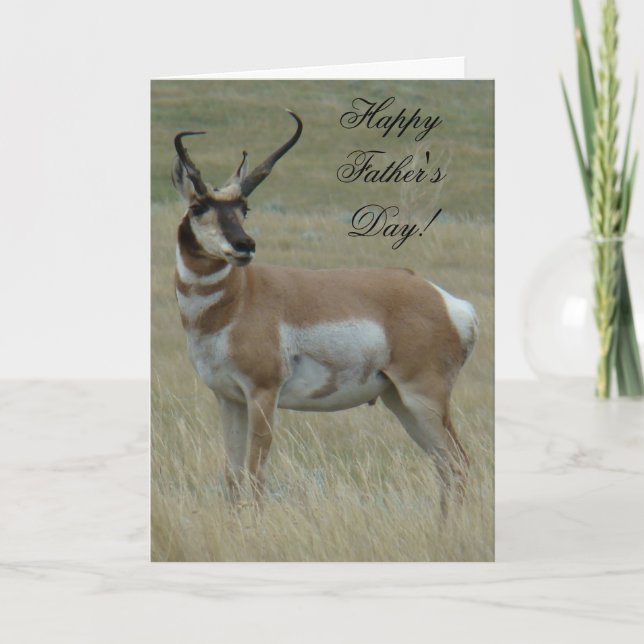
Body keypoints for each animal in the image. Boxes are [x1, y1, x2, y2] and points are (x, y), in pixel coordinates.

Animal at [172, 110, 478, 512]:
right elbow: (233, 479)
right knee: (445, 466)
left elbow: (255, 478)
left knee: (458, 463)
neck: (238, 300)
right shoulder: (229, 399)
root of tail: (448, 302)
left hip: (423, 397)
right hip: (401, 402)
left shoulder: (263, 395)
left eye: (243, 208)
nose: (244, 245)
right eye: (198, 207)